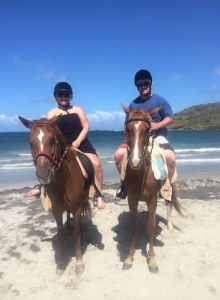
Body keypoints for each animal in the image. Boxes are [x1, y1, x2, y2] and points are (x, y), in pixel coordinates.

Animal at [18, 116, 93, 276]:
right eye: (30, 142)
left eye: (52, 139)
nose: (43, 174)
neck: (63, 180)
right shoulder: (56, 210)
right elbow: (60, 234)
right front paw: (61, 262)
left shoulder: (77, 208)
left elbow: (76, 234)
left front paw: (79, 262)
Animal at [121, 106, 181, 274]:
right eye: (128, 128)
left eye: (147, 129)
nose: (135, 161)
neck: (140, 174)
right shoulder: (132, 199)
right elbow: (134, 226)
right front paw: (129, 258)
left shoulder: (152, 198)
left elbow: (149, 228)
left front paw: (152, 260)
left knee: (168, 202)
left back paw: (169, 226)